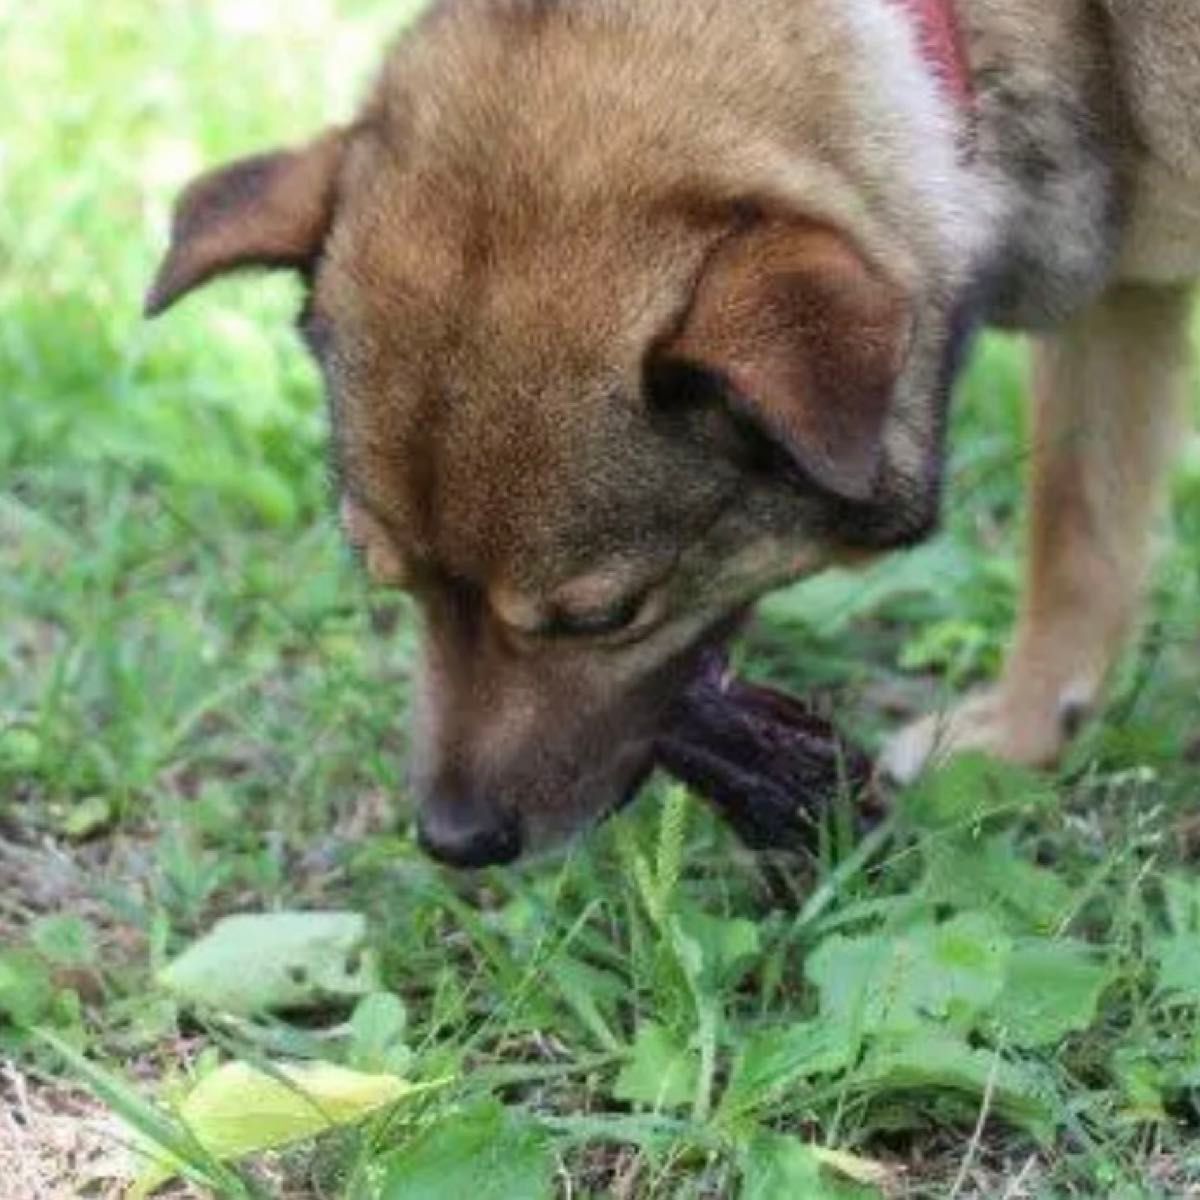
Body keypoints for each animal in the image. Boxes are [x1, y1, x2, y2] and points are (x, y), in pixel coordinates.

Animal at [147, 0, 1200, 864]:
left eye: (603, 617)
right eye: (388, 583)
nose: (453, 841)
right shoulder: (1121, 296)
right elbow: (1077, 531)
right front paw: (1029, 734)